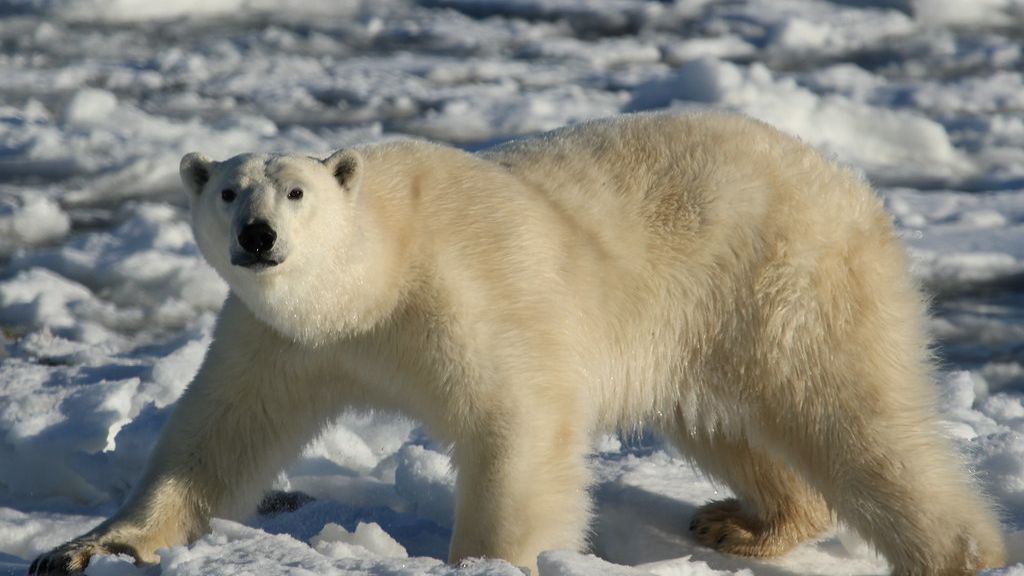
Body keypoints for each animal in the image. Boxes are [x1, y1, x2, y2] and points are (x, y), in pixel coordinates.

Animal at [30, 112, 1005, 575]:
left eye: (298, 192)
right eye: (230, 190)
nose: (260, 237)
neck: (377, 271)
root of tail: (850, 182)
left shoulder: (464, 292)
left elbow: (519, 420)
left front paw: (485, 562)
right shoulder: (280, 338)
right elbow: (218, 435)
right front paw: (86, 547)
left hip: (788, 280)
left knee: (853, 416)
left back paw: (959, 554)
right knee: (728, 423)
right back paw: (747, 523)